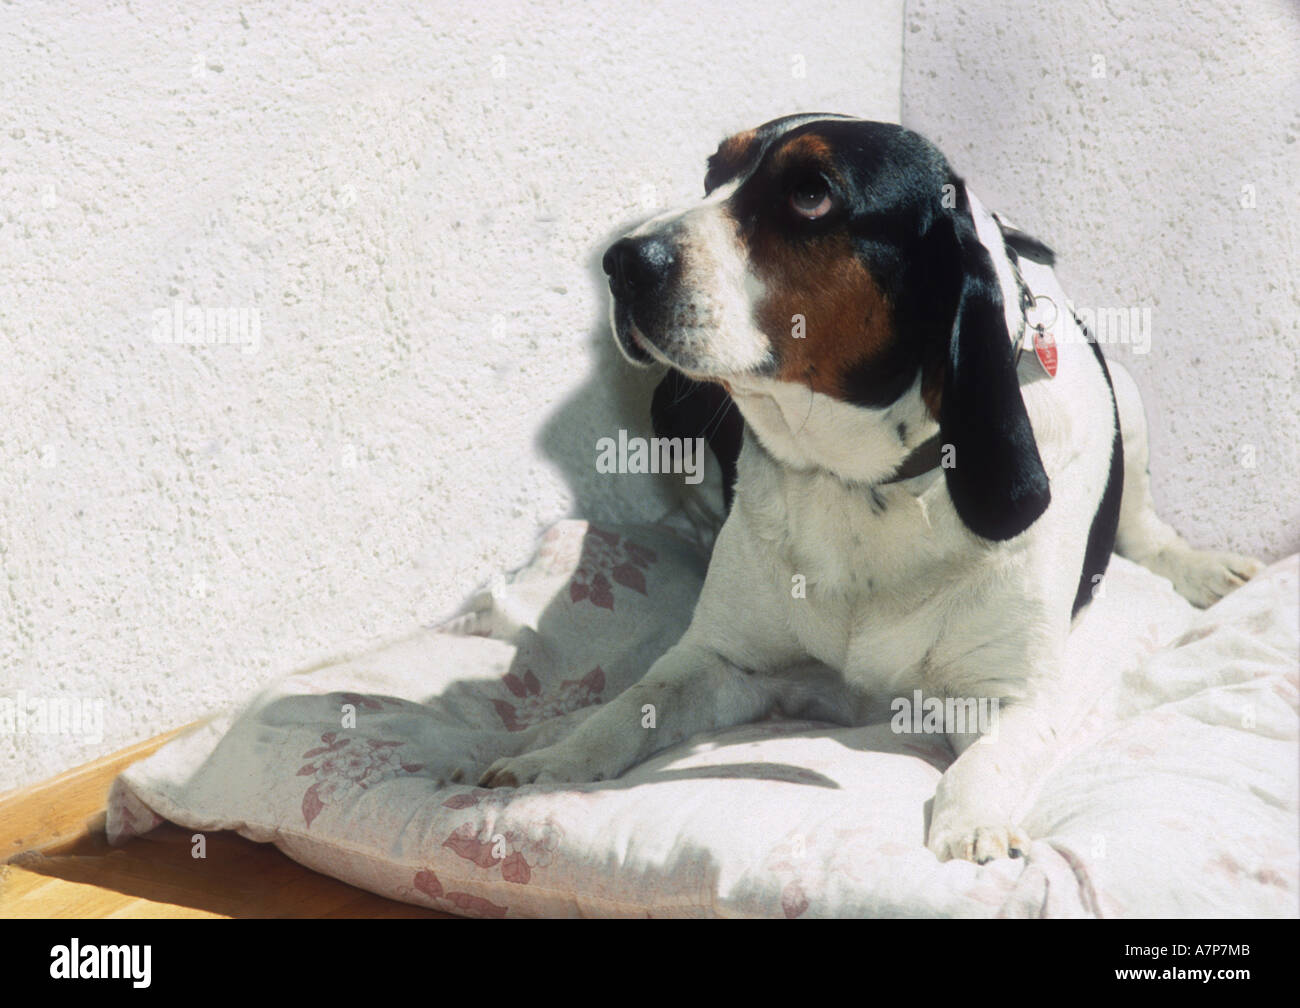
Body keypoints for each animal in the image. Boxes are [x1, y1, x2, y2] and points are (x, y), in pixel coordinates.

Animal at [480, 114, 1258, 863]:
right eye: (711, 175)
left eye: (811, 193)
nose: (621, 262)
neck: (859, 482)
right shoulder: (719, 662)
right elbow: (631, 705)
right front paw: (553, 758)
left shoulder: (1011, 700)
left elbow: (983, 766)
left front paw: (972, 829)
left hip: (1126, 399)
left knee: (1146, 528)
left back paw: (1202, 567)